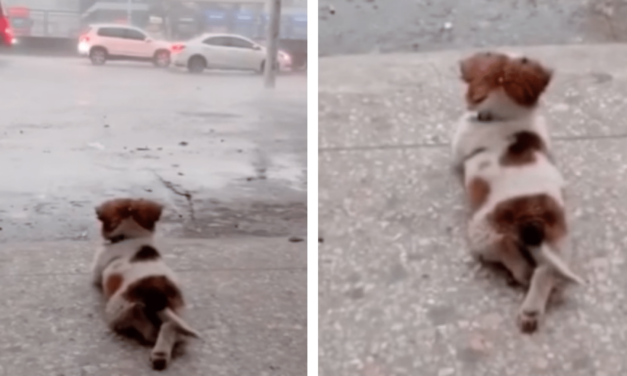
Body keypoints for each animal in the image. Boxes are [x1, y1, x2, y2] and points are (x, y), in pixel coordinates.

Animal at [89, 198, 199, 368]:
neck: (131, 236)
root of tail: (156, 292)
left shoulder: (96, 271)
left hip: (115, 307)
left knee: (143, 327)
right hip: (179, 313)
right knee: (170, 328)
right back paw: (160, 354)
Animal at [452, 51, 584, 334]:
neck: (506, 116)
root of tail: (530, 214)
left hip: (482, 231)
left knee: (512, 257)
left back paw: (521, 283)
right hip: (559, 241)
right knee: (545, 271)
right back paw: (532, 311)